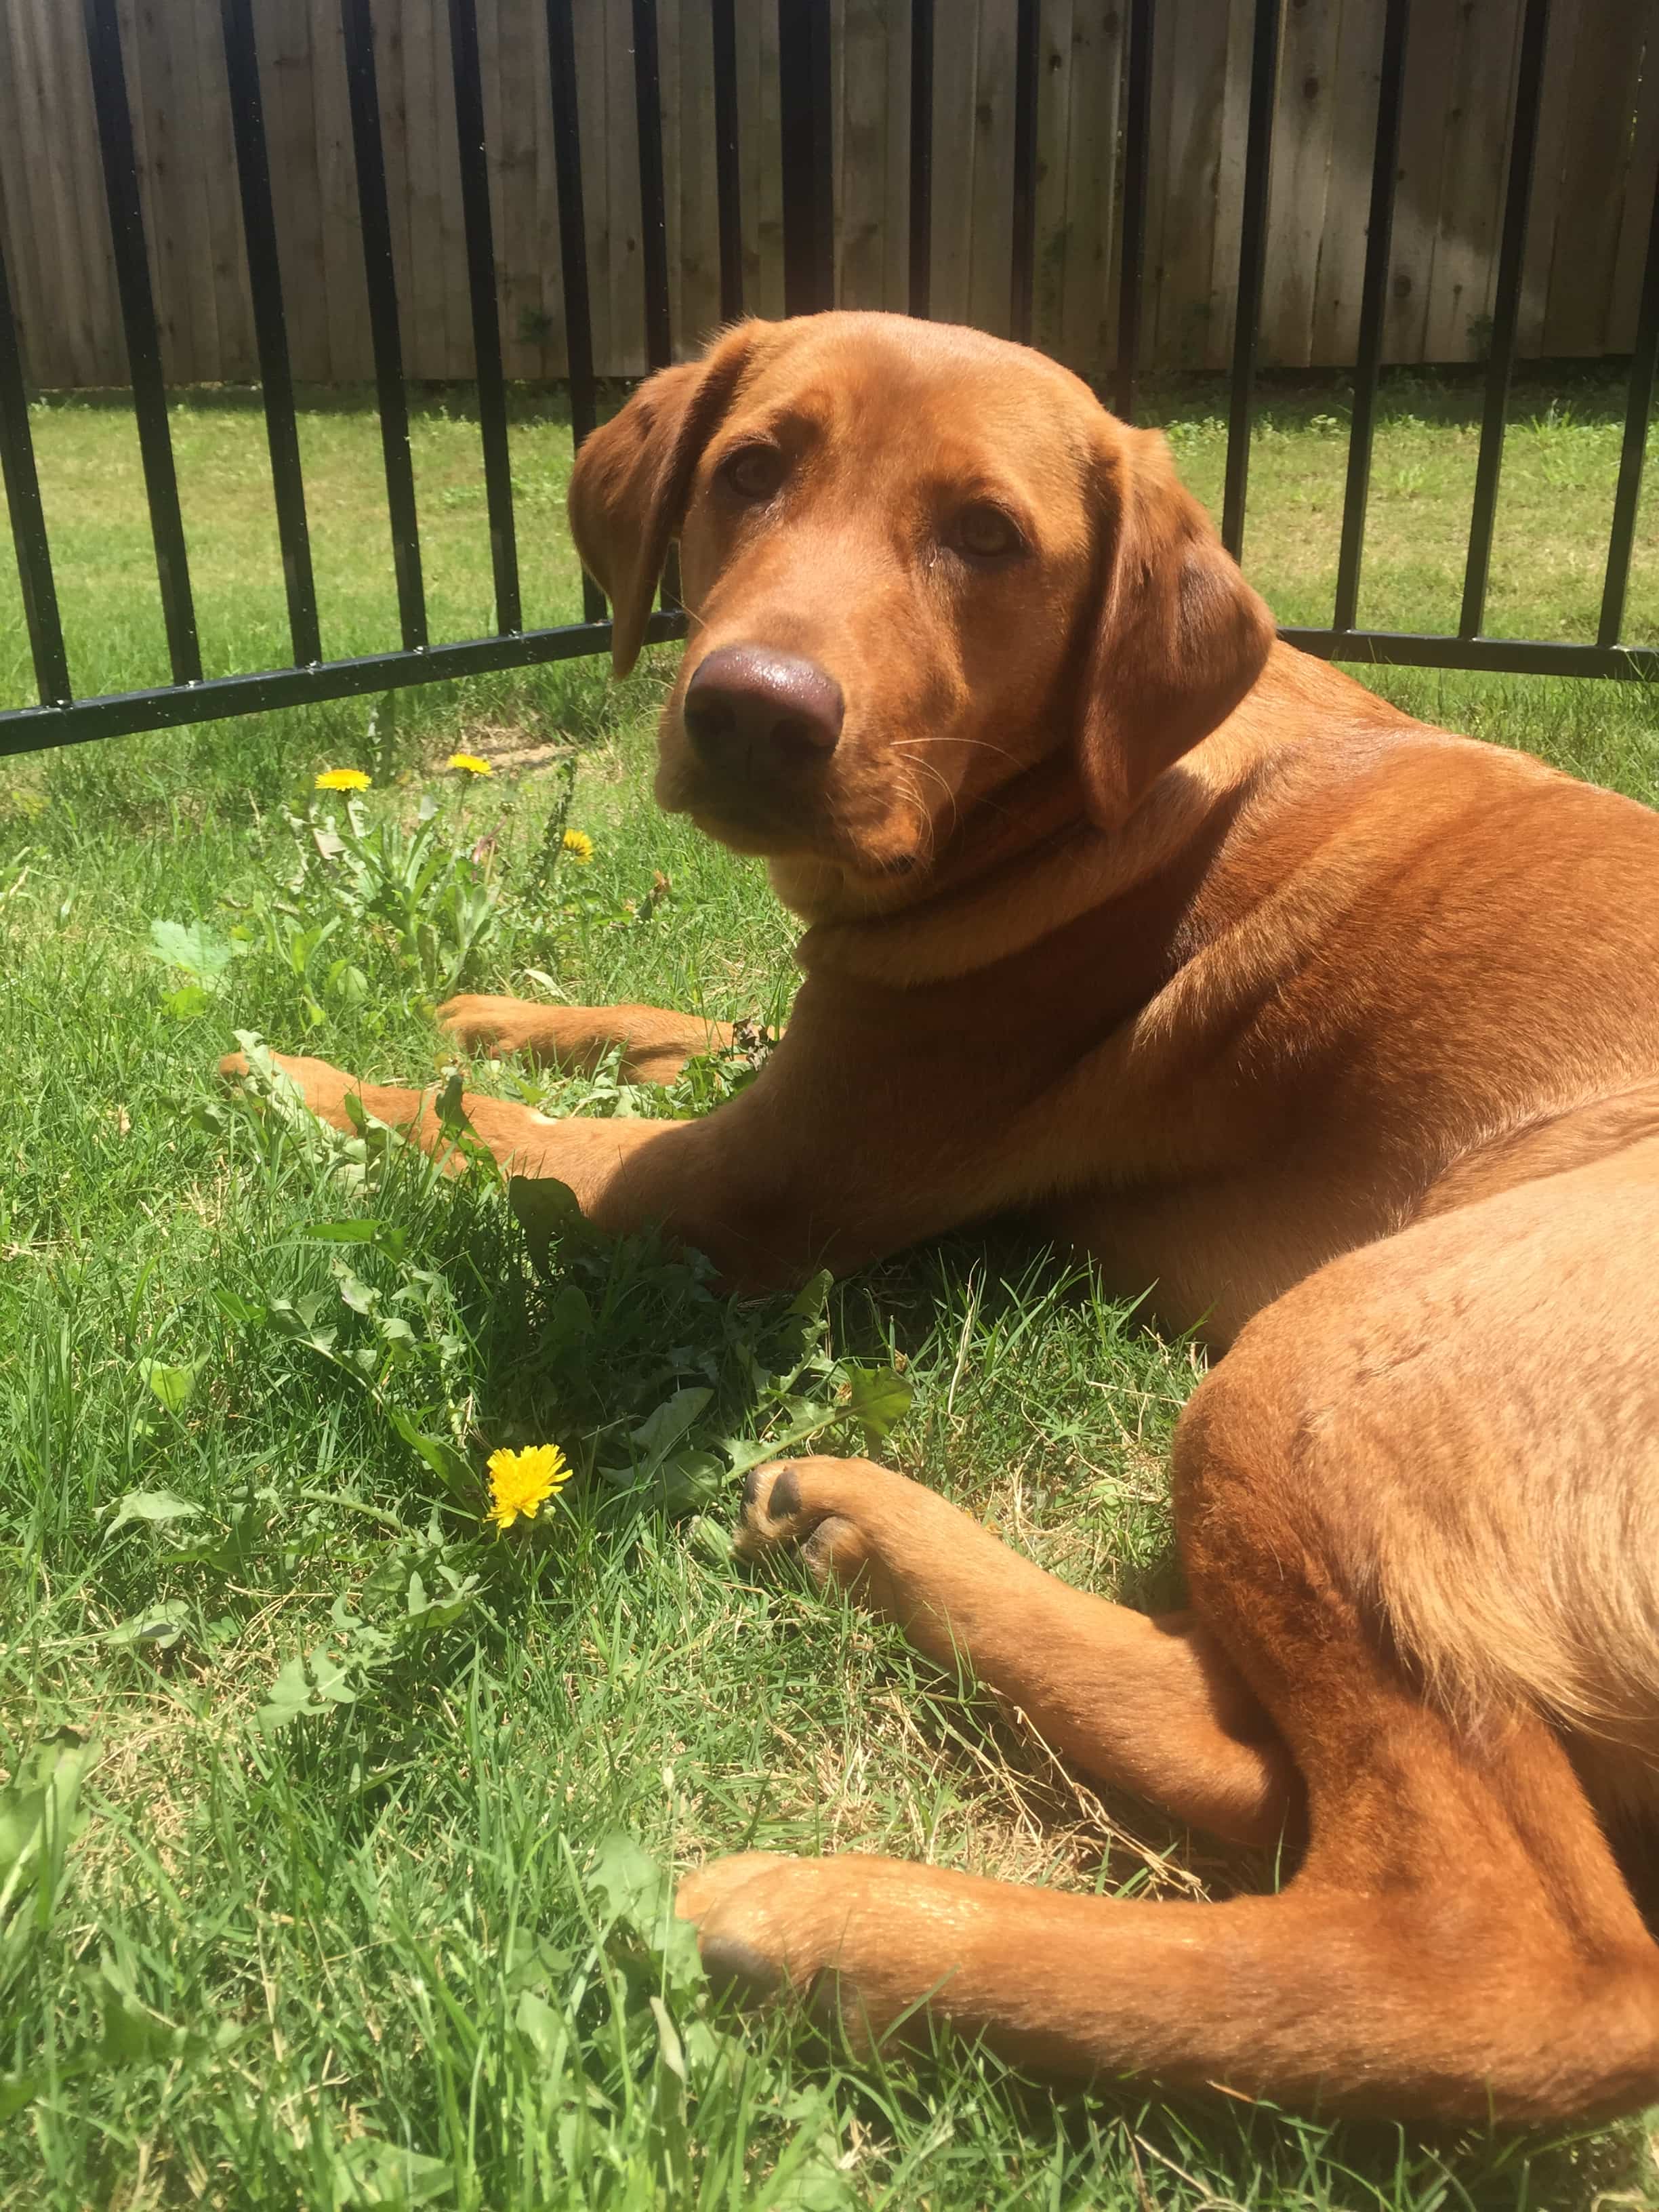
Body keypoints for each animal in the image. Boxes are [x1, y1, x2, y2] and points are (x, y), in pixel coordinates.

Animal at [231, 316, 1659, 2123]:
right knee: (1261, 1761)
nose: (750, 712)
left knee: (1499, 1950)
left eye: (987, 536)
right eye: (749, 470)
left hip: (1332, 1362)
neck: (1072, 796)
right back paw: (861, 1528)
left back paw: (837, 1927)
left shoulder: (750, 1185)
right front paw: (487, 1006)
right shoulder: (802, 1058)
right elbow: (654, 1026)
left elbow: (491, 1135)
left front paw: (289, 1070)